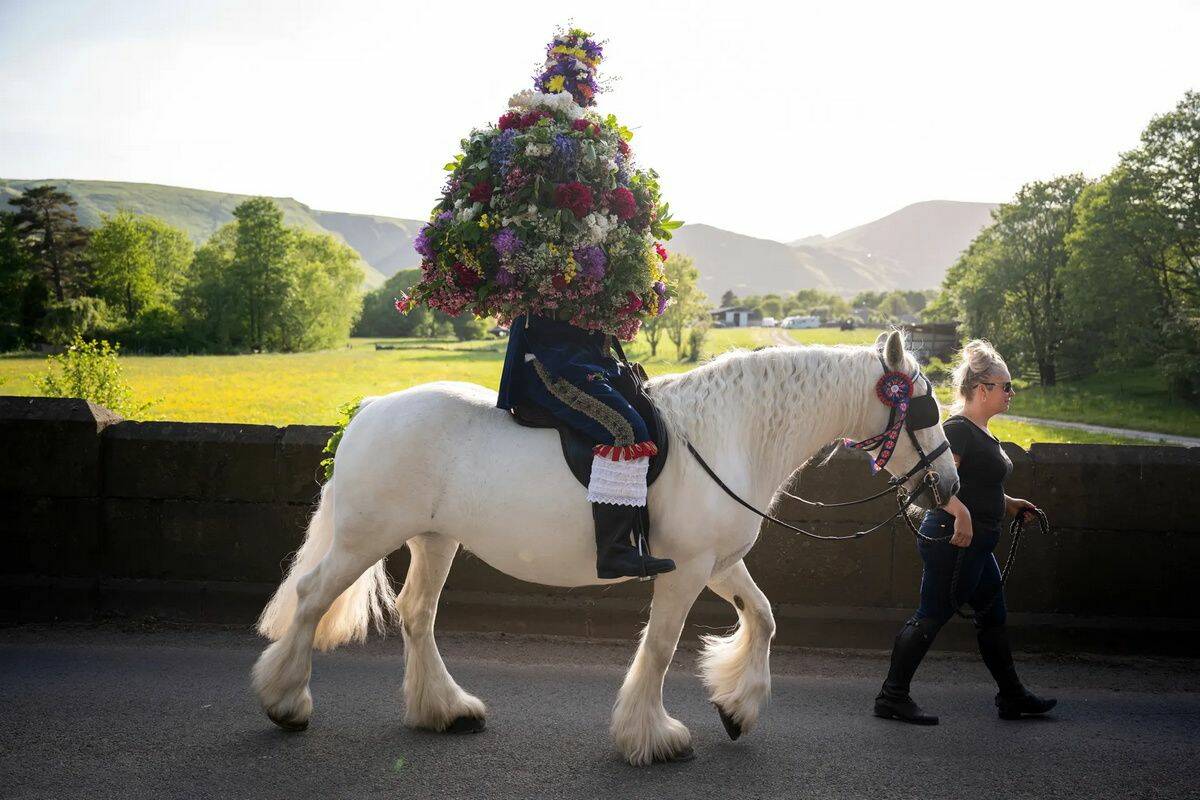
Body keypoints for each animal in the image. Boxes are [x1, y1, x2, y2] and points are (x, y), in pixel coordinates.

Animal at [250, 331, 955, 762]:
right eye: (923, 406)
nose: (948, 486)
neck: (730, 436)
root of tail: (371, 409)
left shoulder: (719, 564)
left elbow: (763, 617)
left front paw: (738, 708)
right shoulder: (685, 570)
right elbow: (662, 646)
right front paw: (653, 736)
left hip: (434, 539)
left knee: (416, 613)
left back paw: (444, 709)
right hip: (366, 537)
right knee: (312, 599)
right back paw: (286, 702)